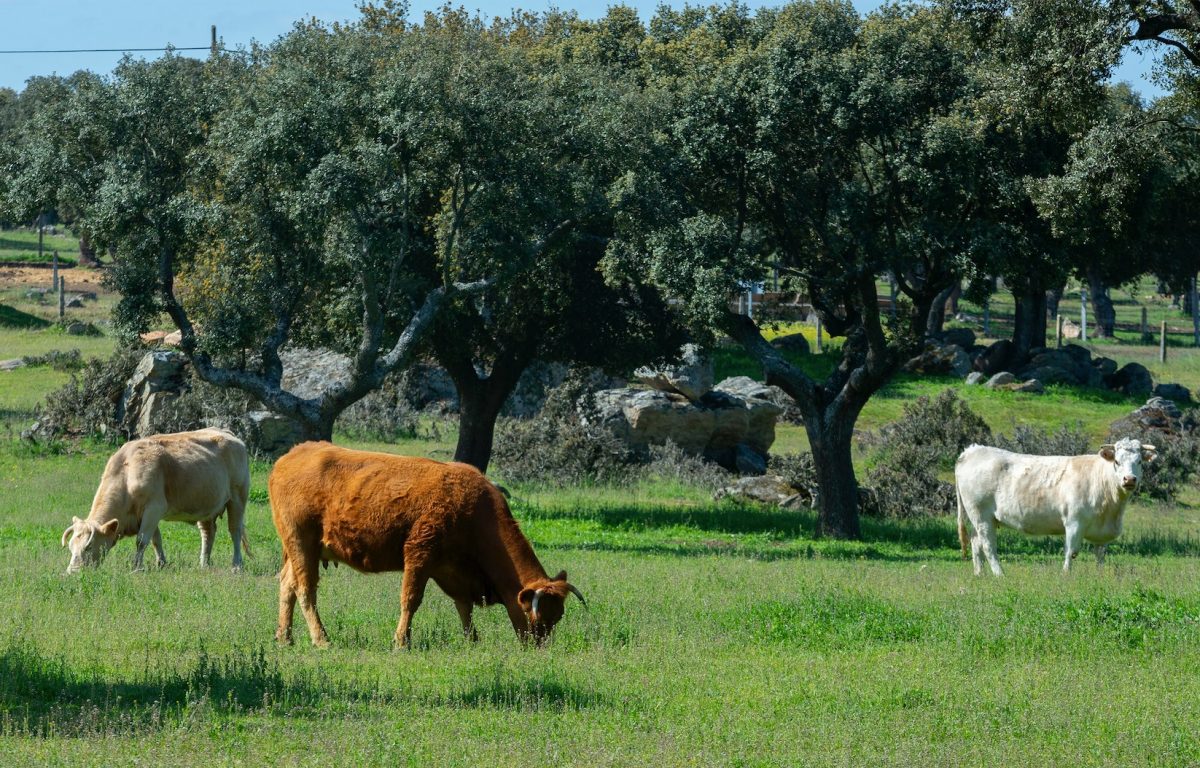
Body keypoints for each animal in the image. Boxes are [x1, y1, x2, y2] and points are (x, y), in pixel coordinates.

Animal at [61, 429, 250, 573]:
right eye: (71, 547)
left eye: (88, 547)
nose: (72, 572)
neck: (127, 473)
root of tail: (227, 433)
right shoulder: (147, 515)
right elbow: (155, 539)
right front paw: (161, 564)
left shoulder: (154, 508)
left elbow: (142, 540)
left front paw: (137, 567)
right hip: (207, 505)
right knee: (208, 533)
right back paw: (204, 564)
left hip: (237, 498)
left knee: (235, 531)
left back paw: (237, 565)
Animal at [268, 444, 585, 648]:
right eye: (537, 616)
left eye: (558, 616)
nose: (539, 646)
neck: (474, 508)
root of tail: (291, 456)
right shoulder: (419, 555)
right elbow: (411, 600)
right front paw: (401, 641)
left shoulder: (450, 568)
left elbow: (463, 605)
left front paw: (472, 640)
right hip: (302, 545)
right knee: (305, 590)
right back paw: (322, 640)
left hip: (300, 551)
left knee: (287, 585)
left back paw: (285, 638)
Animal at [950, 436, 1156, 576]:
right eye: (1117, 461)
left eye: (1139, 462)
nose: (1129, 479)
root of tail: (972, 450)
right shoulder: (1074, 522)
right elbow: (1071, 552)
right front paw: (1066, 575)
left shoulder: (1102, 530)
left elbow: (1100, 555)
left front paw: (1100, 576)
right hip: (981, 514)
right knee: (988, 545)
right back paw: (1000, 574)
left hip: (980, 518)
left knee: (976, 542)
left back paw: (980, 573)